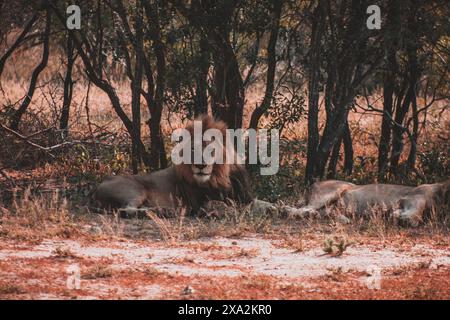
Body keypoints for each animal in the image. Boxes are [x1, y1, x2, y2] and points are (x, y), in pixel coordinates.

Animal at [92, 115, 253, 215]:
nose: (200, 165)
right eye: (192, 149)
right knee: (126, 210)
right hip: (135, 189)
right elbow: (218, 204)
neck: (218, 177)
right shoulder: (198, 202)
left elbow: (254, 202)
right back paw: (162, 211)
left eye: (211, 149)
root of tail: (95, 189)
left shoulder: (244, 196)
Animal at [286, 179, 448, 226]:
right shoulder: (414, 196)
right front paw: (401, 217)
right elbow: (416, 212)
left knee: (324, 212)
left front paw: (395, 215)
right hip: (335, 189)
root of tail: (312, 185)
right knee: (298, 209)